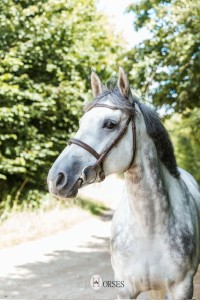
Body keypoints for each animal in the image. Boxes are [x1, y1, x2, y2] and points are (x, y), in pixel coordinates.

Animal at [48, 68, 200, 300]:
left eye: (110, 124)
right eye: (81, 123)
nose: (57, 178)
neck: (149, 231)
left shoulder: (183, 289)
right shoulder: (124, 289)